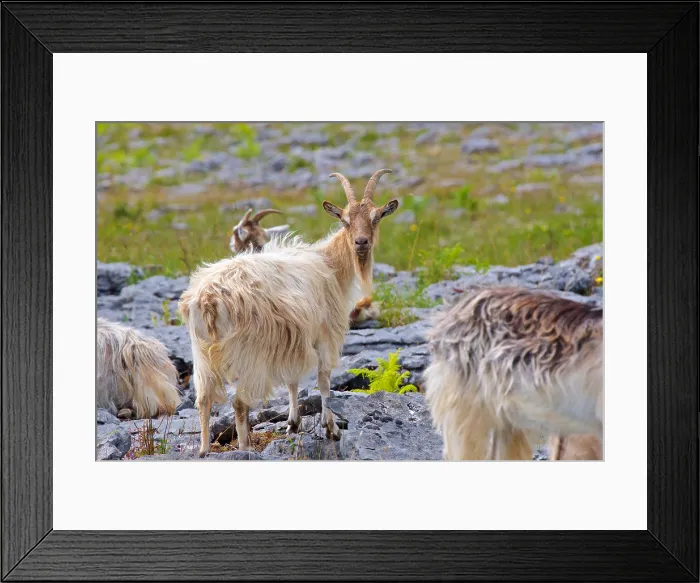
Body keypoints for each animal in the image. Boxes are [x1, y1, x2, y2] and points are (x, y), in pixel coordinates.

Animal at [181, 169, 399, 456]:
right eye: (345, 220)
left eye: (376, 218)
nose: (361, 242)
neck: (330, 264)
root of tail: (207, 299)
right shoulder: (324, 334)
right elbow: (324, 381)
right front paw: (332, 429)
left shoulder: (292, 339)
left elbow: (293, 380)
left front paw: (293, 425)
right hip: (248, 353)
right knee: (239, 402)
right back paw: (245, 447)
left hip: (201, 351)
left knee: (203, 398)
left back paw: (204, 449)